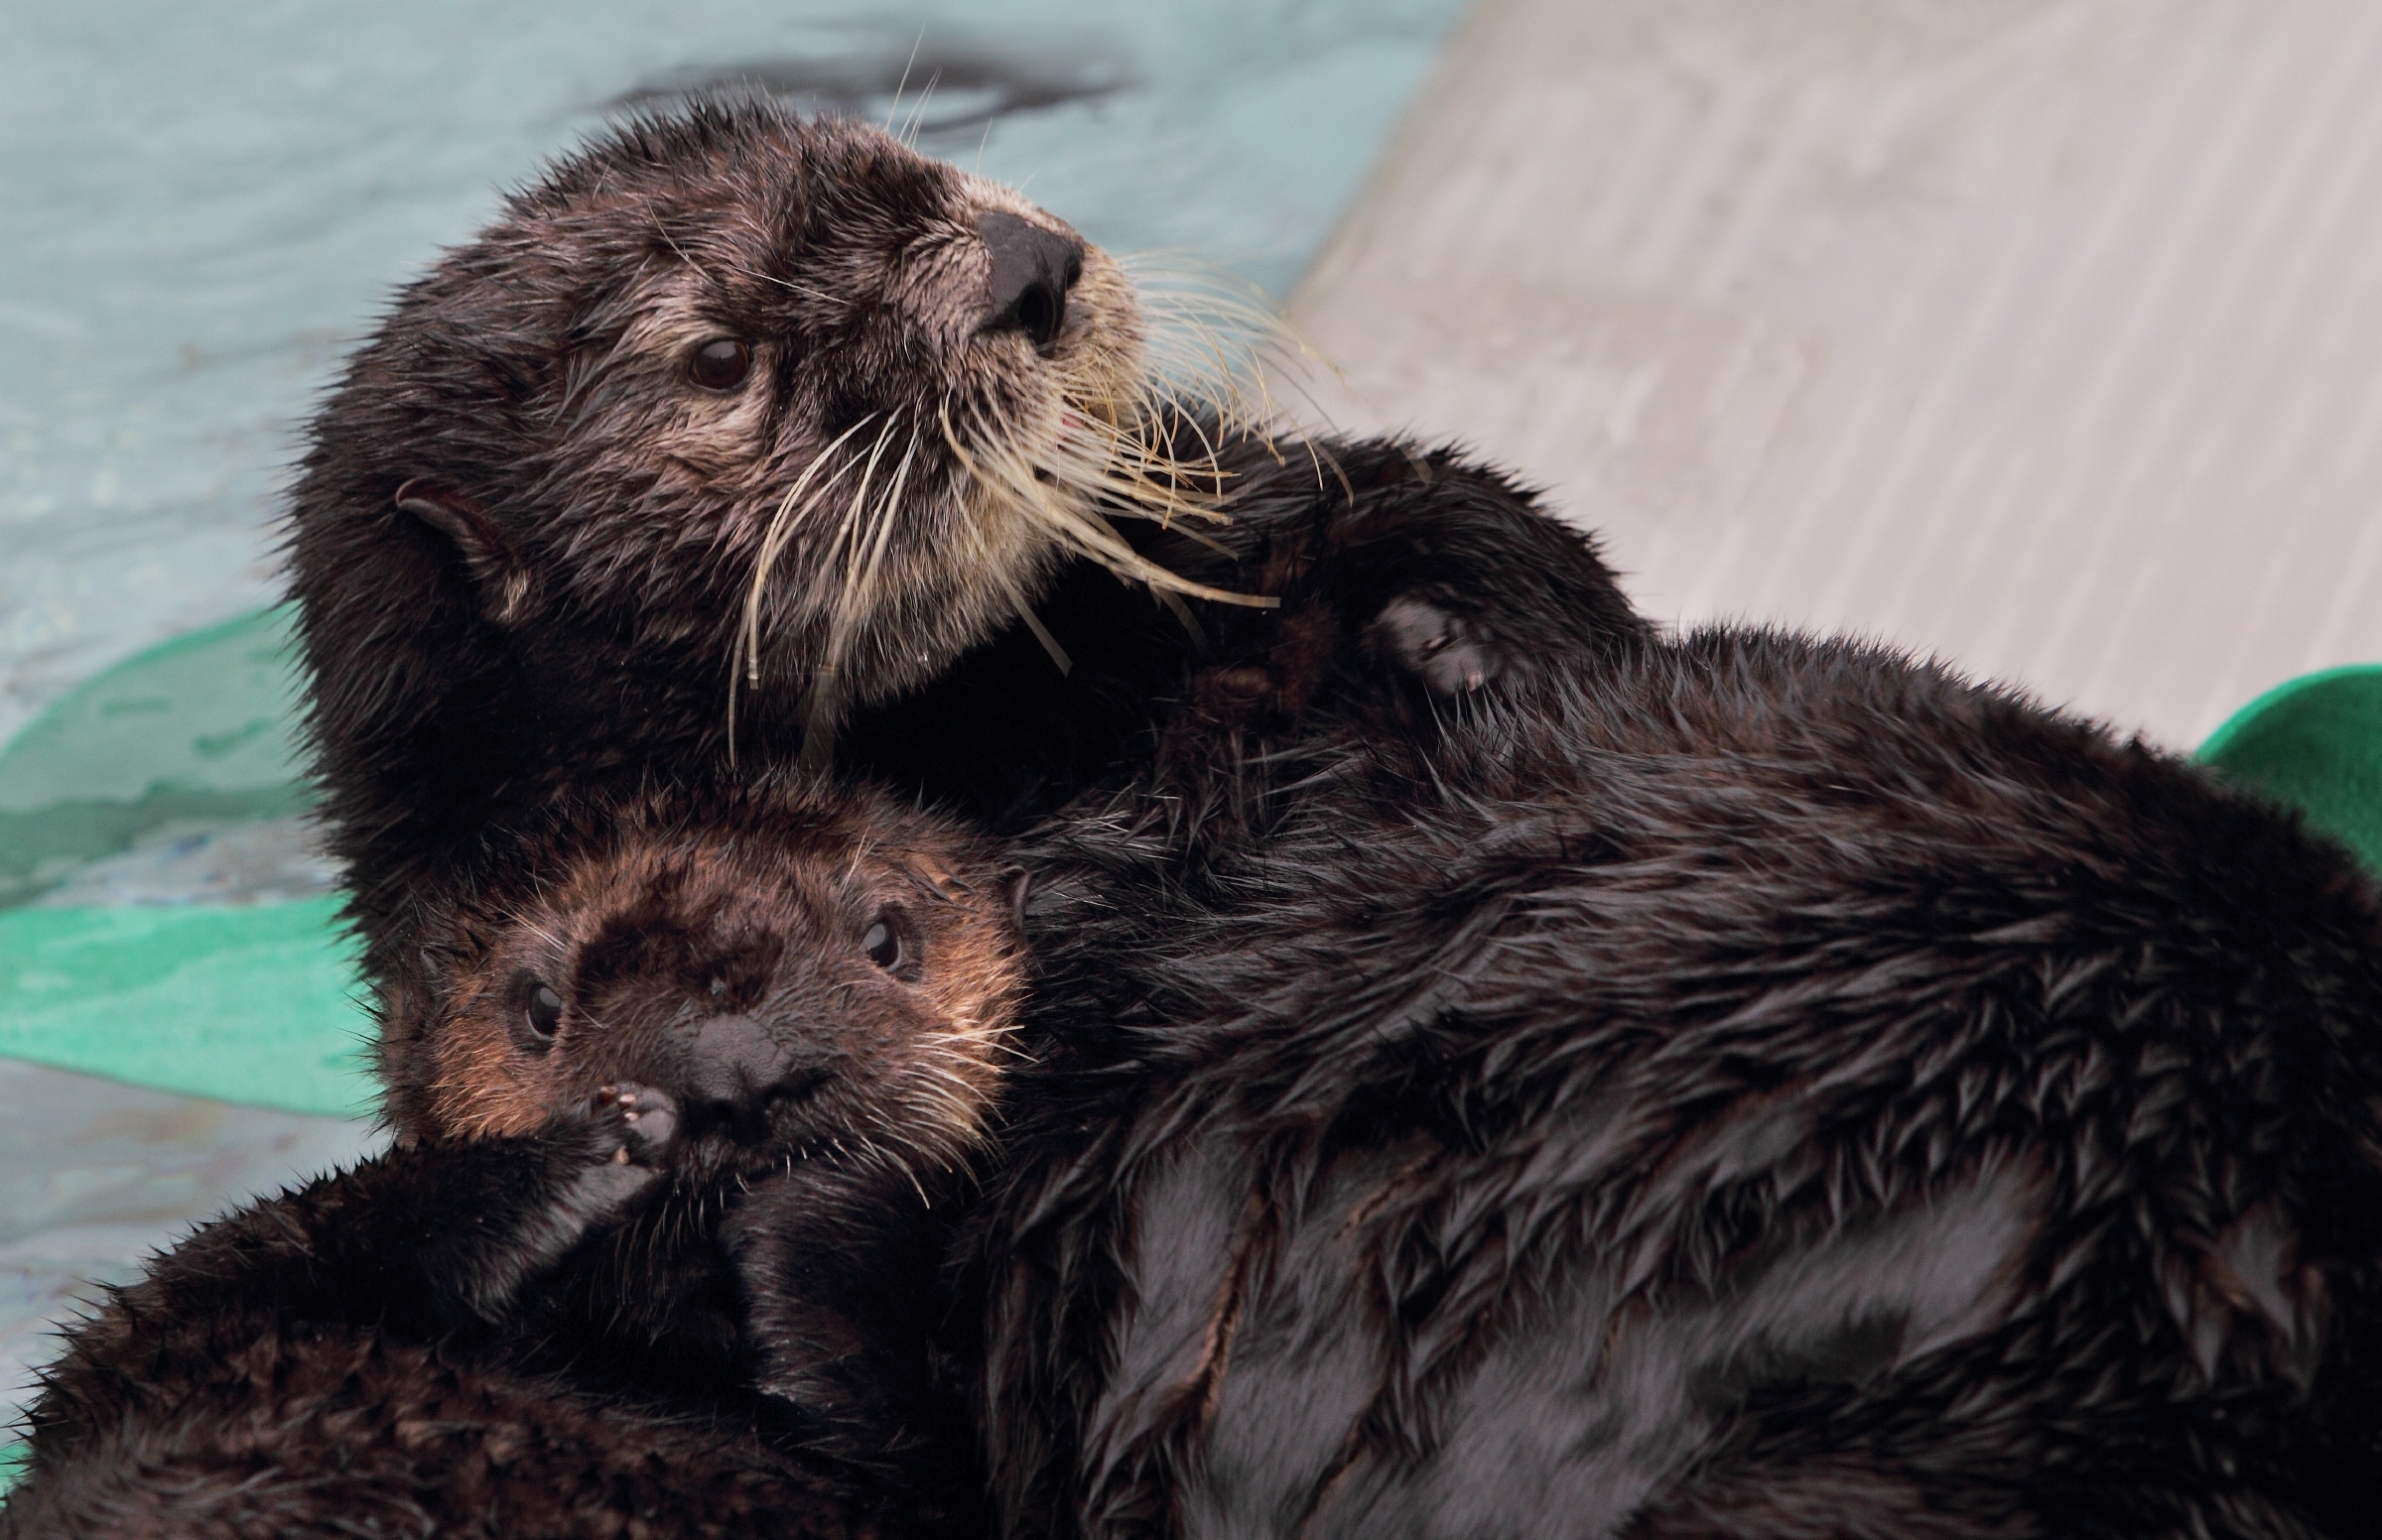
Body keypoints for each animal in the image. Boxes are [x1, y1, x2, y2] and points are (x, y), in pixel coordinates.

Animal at [2, 779, 1026, 1538]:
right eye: (539, 1006)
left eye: (887, 939)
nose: (734, 1071)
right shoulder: (155, 1335)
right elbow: (287, 1239)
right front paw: (604, 1149)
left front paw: (808, 1222)